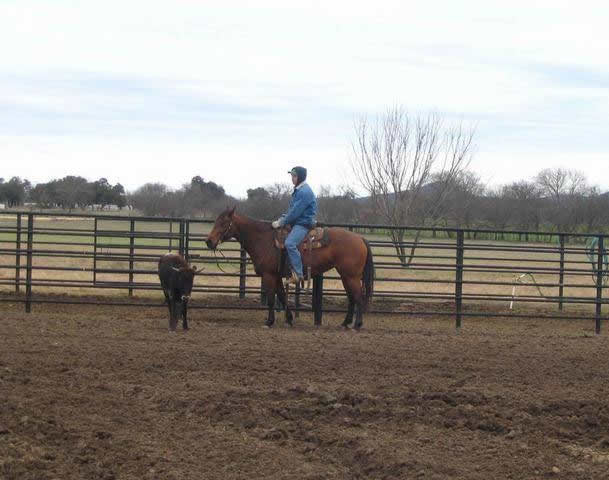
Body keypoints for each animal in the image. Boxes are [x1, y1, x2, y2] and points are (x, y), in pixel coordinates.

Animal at [207, 207, 372, 330]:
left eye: (224, 223)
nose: (209, 242)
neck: (263, 240)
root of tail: (360, 238)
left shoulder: (269, 275)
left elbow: (271, 299)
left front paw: (269, 322)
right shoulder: (277, 276)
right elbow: (281, 295)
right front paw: (289, 319)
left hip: (351, 276)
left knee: (358, 297)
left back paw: (357, 324)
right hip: (345, 276)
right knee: (352, 298)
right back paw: (345, 323)